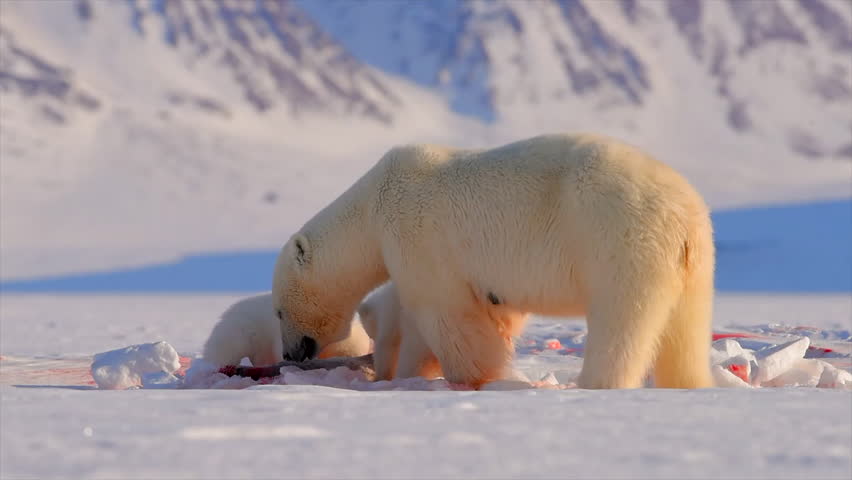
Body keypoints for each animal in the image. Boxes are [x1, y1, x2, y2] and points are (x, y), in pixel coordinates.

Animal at [271, 133, 716, 389]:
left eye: (277, 311)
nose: (289, 354)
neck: (369, 208)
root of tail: (684, 214)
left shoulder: (416, 235)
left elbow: (447, 313)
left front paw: (470, 376)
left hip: (616, 238)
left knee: (621, 321)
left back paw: (594, 383)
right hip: (692, 262)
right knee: (685, 329)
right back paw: (689, 383)